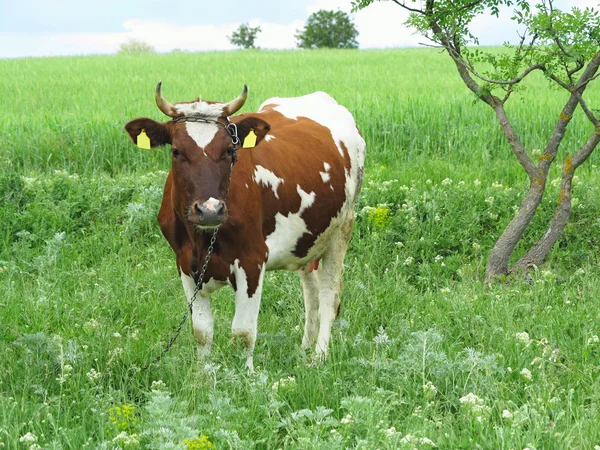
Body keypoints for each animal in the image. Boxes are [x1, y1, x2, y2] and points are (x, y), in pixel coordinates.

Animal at [124, 82, 364, 370]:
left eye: (229, 150)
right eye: (176, 151)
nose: (210, 210)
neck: (202, 239)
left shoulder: (252, 260)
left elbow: (243, 332)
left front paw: (246, 376)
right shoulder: (184, 263)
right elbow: (201, 331)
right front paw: (204, 376)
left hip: (341, 230)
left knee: (329, 295)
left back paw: (319, 356)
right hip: (307, 240)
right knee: (311, 292)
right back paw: (305, 347)